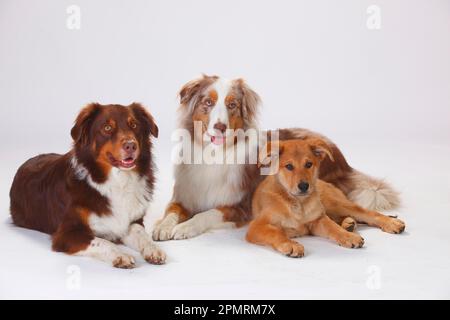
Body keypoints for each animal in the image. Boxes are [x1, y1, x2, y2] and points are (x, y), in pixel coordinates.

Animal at [9, 102, 165, 268]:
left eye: (134, 125)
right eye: (107, 128)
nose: (131, 146)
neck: (117, 181)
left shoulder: (131, 222)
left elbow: (143, 235)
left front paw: (153, 249)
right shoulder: (65, 234)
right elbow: (101, 241)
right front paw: (120, 255)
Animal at [152, 75, 400, 240]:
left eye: (232, 105)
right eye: (208, 103)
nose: (220, 127)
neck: (213, 154)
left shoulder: (240, 207)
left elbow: (207, 214)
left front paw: (185, 228)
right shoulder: (185, 196)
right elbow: (172, 211)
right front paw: (163, 226)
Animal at [246, 139, 408, 258]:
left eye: (309, 164)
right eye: (289, 166)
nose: (304, 186)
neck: (298, 203)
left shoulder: (318, 219)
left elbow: (333, 228)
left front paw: (348, 237)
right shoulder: (256, 226)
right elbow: (276, 233)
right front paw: (290, 244)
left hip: (334, 203)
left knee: (367, 213)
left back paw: (390, 223)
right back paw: (349, 223)